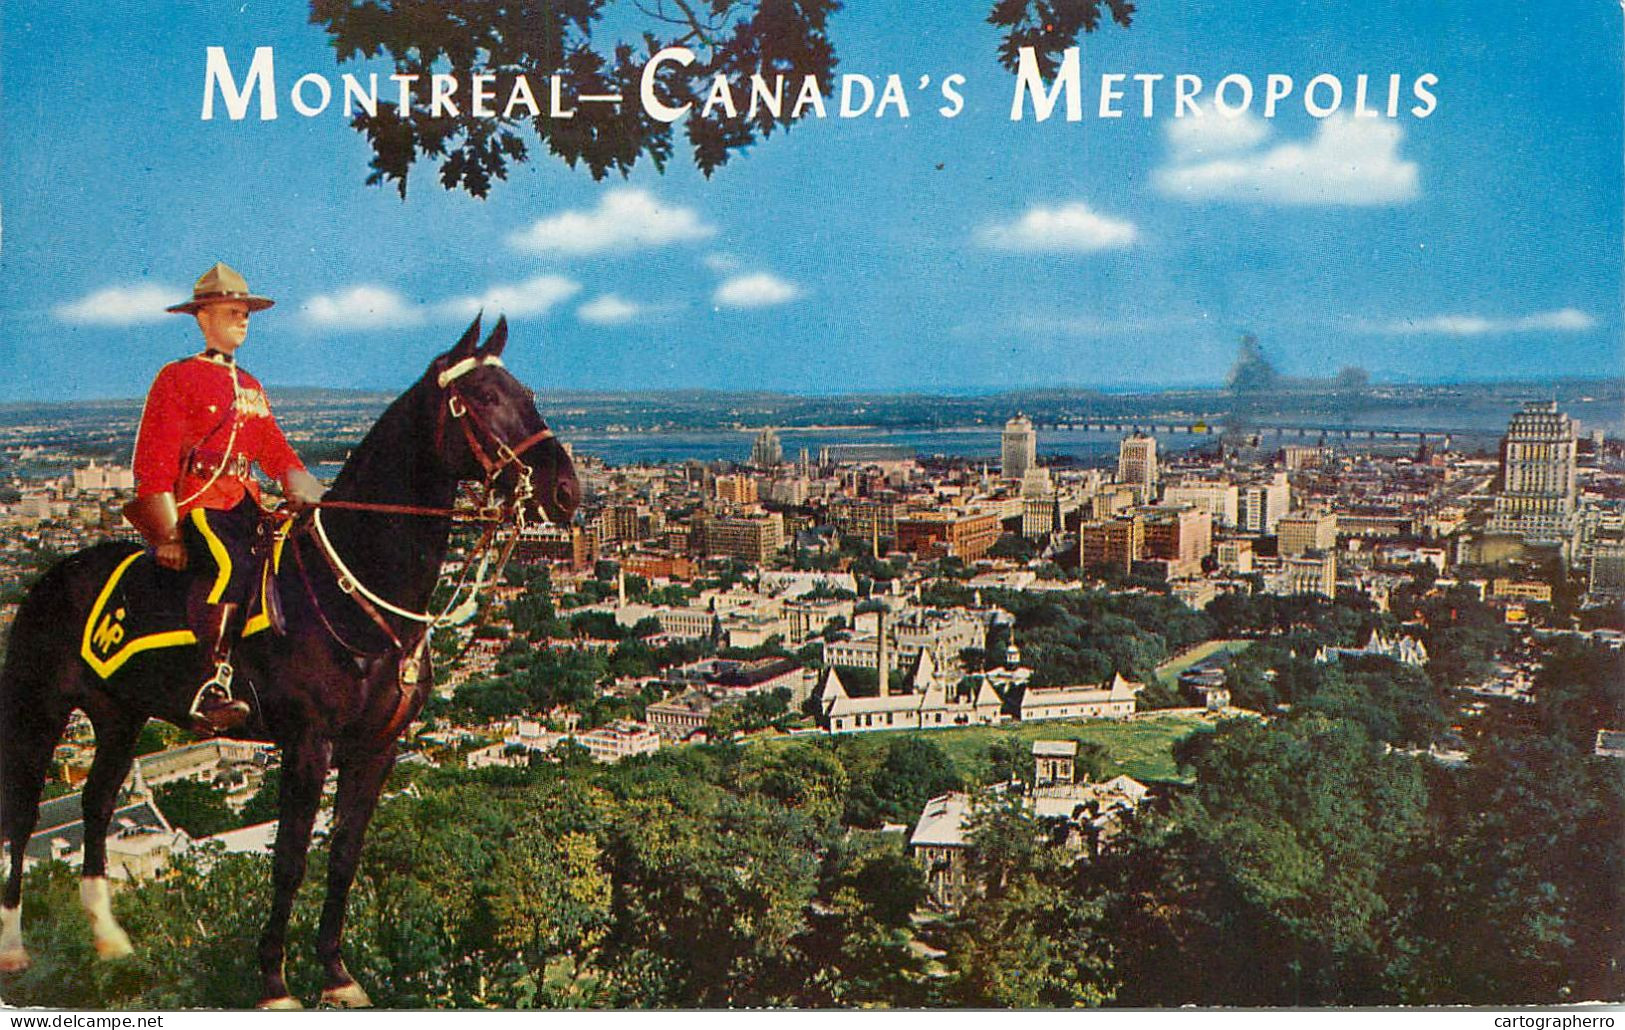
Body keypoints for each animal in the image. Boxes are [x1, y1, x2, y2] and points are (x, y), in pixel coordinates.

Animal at [0, 316, 581, 1007]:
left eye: (527, 392)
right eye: (486, 397)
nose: (567, 490)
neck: (353, 588)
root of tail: (53, 574)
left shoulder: (376, 748)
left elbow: (345, 856)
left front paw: (336, 972)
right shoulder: (307, 743)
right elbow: (290, 861)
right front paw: (275, 979)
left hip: (120, 715)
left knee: (95, 804)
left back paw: (109, 937)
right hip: (36, 709)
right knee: (22, 814)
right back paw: (13, 946)